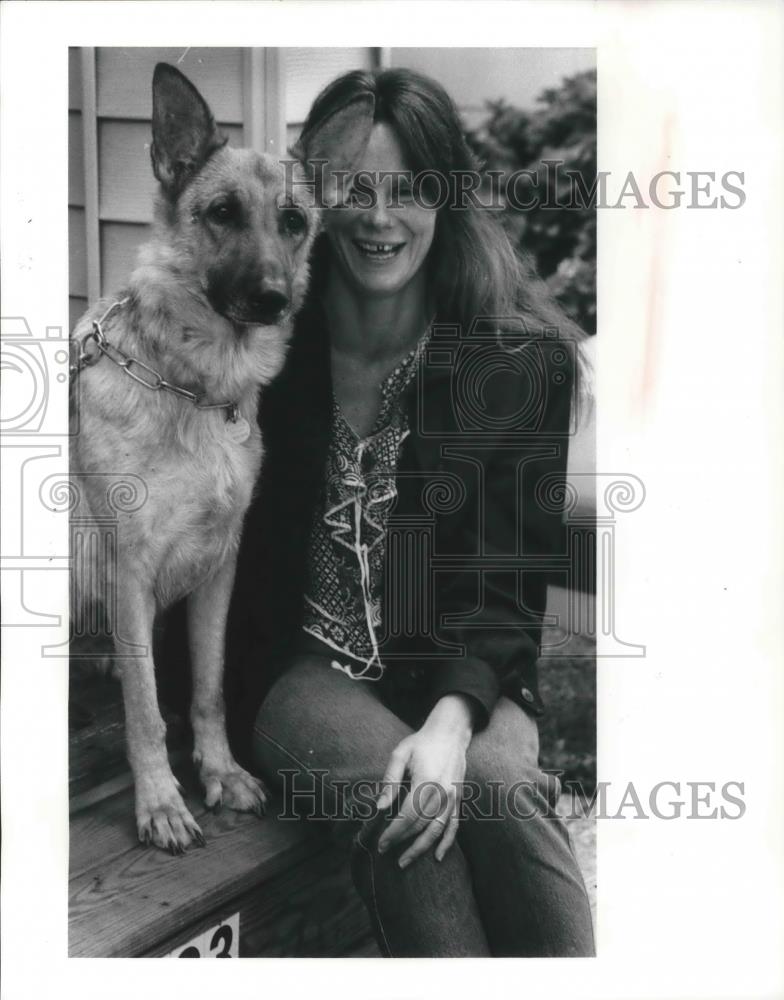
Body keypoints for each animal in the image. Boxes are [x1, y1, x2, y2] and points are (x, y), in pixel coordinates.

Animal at [70, 64, 374, 852]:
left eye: (294, 223)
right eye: (223, 213)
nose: (271, 299)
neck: (192, 387)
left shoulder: (217, 570)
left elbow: (206, 689)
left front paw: (219, 771)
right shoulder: (132, 574)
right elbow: (146, 710)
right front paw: (160, 803)